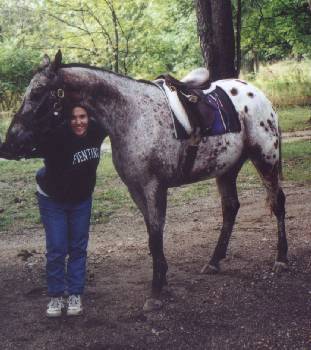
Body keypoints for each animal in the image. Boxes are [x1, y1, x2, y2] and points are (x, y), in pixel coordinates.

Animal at [0, 51, 288, 312]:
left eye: (39, 92)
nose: (9, 144)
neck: (131, 115)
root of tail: (257, 94)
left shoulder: (154, 188)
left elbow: (156, 235)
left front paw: (156, 292)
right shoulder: (136, 190)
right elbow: (152, 236)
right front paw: (162, 281)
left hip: (266, 159)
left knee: (278, 203)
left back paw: (281, 259)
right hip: (226, 169)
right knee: (230, 208)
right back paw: (215, 261)